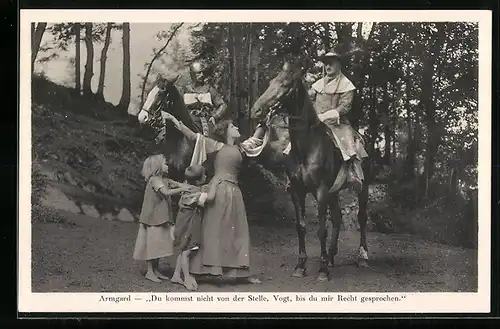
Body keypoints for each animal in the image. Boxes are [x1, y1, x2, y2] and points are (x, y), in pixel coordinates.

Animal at [250, 60, 372, 280]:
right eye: (271, 82)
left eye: (285, 84)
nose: (256, 110)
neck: (306, 147)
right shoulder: (297, 191)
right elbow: (301, 226)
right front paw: (301, 266)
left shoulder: (321, 191)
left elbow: (321, 229)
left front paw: (322, 270)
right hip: (334, 192)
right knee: (338, 218)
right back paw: (331, 256)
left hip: (362, 188)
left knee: (361, 218)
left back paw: (362, 257)